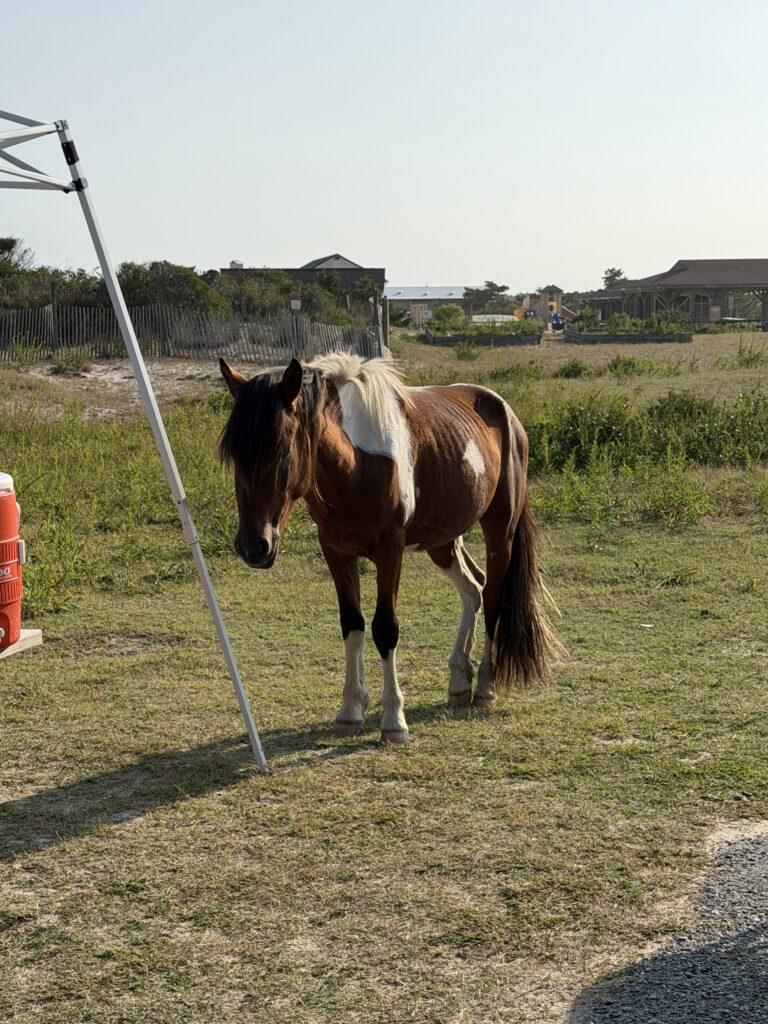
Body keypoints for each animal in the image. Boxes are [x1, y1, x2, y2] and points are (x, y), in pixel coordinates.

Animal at [218, 351, 559, 744]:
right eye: (234, 454)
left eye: (282, 452)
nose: (253, 546)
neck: (355, 465)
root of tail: (506, 413)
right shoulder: (336, 552)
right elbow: (352, 625)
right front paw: (350, 710)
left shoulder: (390, 551)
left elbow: (385, 628)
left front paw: (393, 719)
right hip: (442, 541)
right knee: (473, 588)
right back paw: (460, 680)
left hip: (499, 532)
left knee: (493, 599)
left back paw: (486, 686)